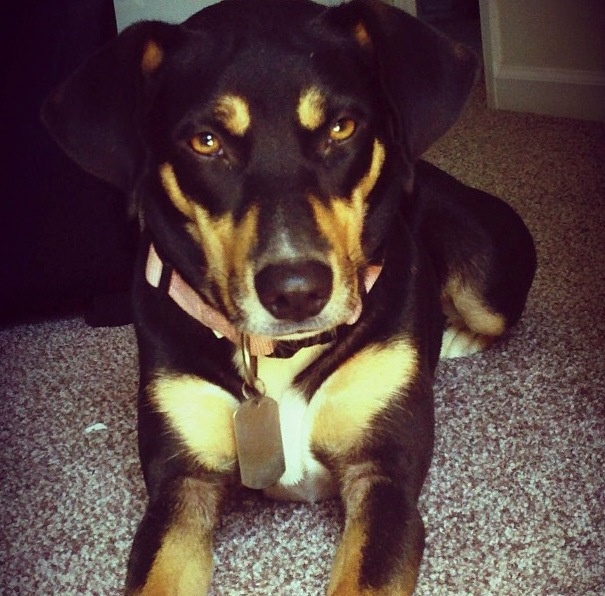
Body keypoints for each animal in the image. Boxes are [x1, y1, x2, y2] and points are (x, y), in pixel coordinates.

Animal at [41, 0, 532, 592]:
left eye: (342, 128)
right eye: (206, 141)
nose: (297, 293)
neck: (276, 357)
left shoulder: (383, 475)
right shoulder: (181, 487)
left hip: (484, 279)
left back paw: (456, 332)